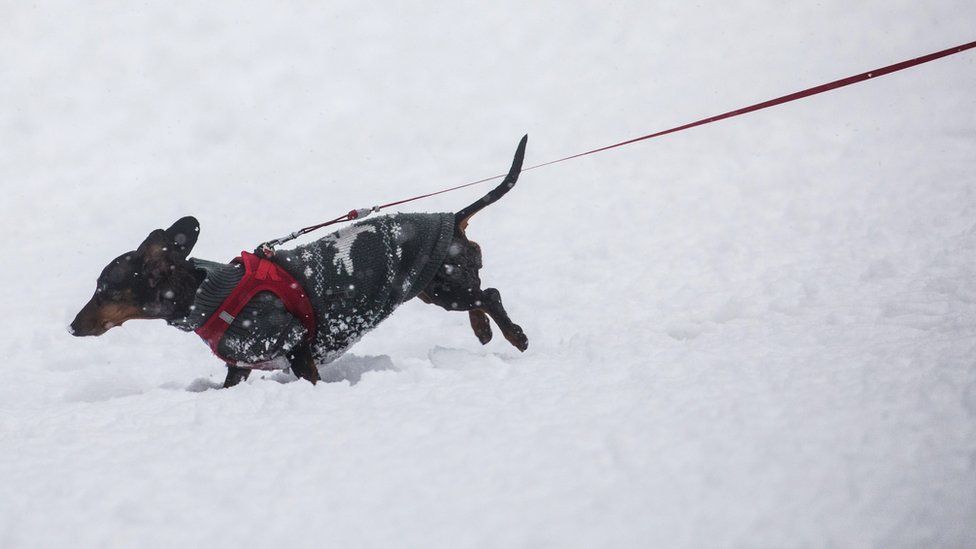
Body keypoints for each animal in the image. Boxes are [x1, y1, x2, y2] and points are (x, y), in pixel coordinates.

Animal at [70, 135, 528, 388]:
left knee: (490, 294)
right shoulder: (240, 366)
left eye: (105, 290)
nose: (71, 327)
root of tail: (451, 217)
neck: (207, 294)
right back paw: (483, 331)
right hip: (435, 285)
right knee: (479, 296)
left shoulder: (292, 344)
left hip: (446, 285)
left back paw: (514, 336)